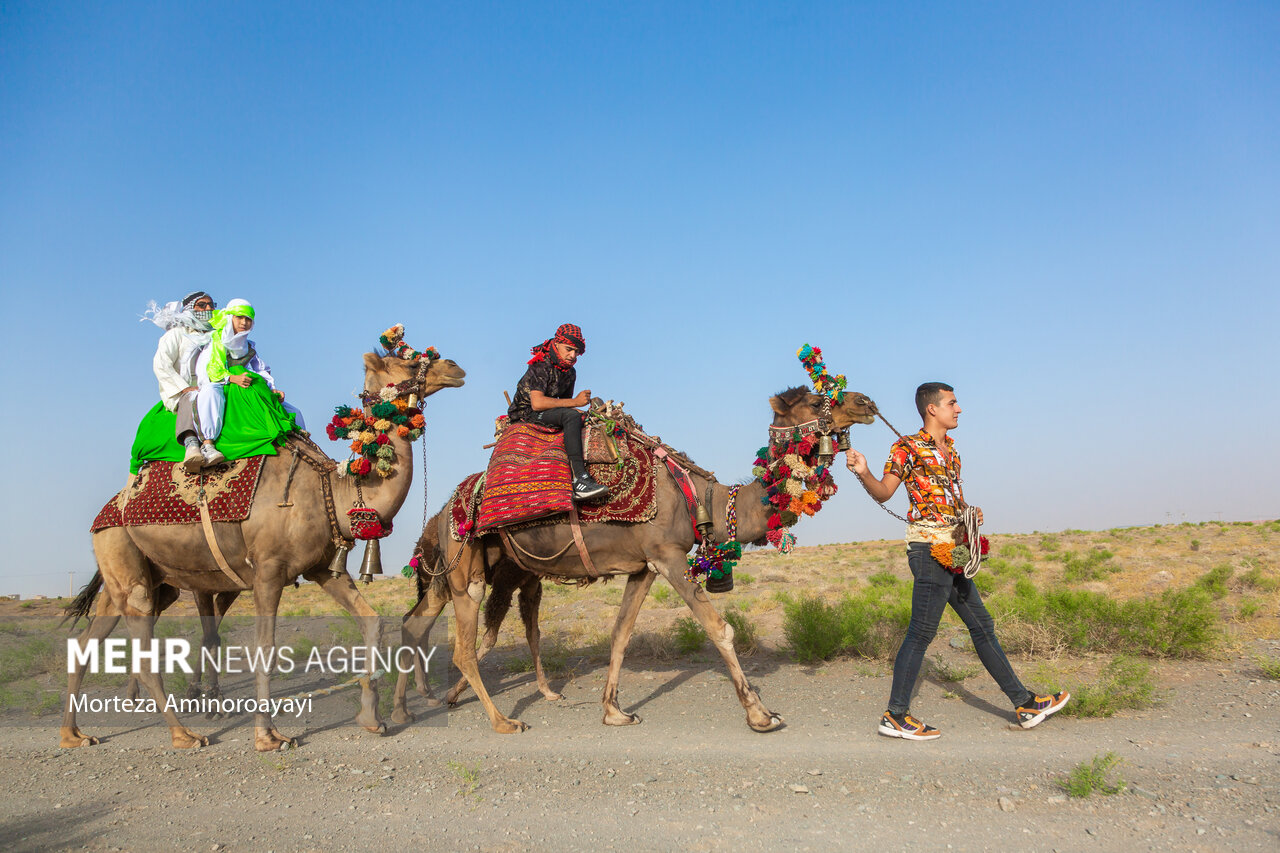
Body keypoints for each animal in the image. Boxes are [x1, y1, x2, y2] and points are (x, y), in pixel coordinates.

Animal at [60, 343, 468, 747]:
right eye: (408, 361)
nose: (455, 367)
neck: (331, 490)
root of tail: (105, 513)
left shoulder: (323, 567)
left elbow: (372, 622)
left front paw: (371, 717)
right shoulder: (269, 570)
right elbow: (265, 648)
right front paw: (267, 736)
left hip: (141, 576)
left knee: (86, 644)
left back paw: (73, 734)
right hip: (121, 553)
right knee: (141, 645)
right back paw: (184, 734)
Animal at [389, 384, 875, 732]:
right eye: (815, 398)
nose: (865, 401)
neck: (703, 500)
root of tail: (441, 513)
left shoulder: (644, 568)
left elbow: (620, 633)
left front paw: (613, 711)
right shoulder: (668, 556)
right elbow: (720, 629)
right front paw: (760, 714)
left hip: (470, 566)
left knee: (417, 622)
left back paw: (404, 712)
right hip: (466, 563)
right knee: (463, 648)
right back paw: (502, 721)